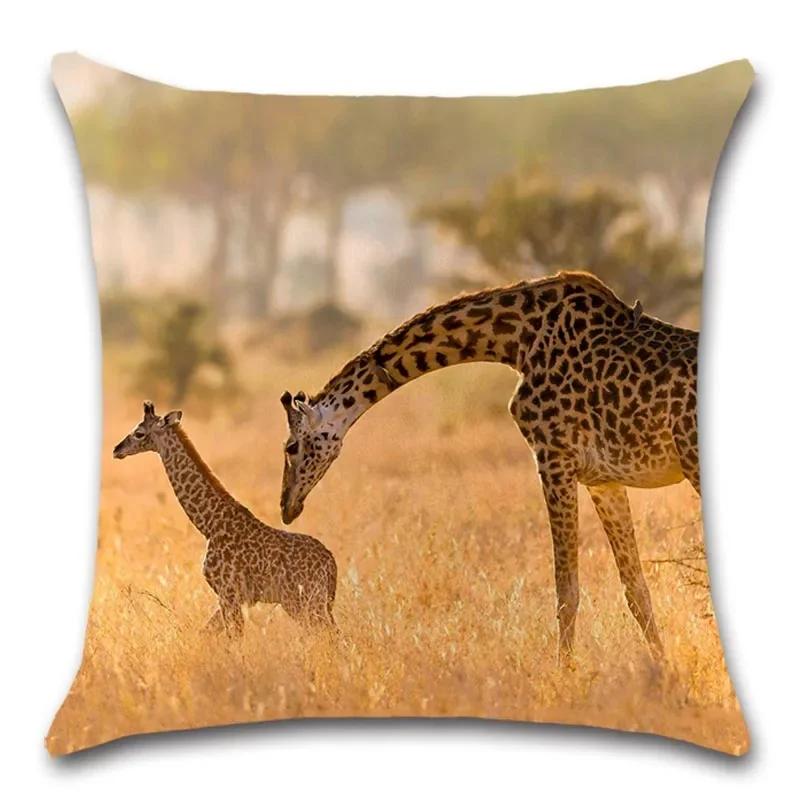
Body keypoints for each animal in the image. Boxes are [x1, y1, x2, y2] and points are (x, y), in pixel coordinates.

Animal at [114, 402, 338, 635]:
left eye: (139, 433)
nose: (117, 449)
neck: (209, 525)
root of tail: (331, 563)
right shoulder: (229, 598)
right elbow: (205, 633)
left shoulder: (229, 593)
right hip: (303, 602)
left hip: (308, 600)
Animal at [279, 271, 701, 661]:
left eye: (291, 446)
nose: (286, 506)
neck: (515, 341)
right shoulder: (602, 479)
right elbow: (636, 588)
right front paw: (665, 672)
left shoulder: (554, 458)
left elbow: (566, 591)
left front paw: (565, 675)